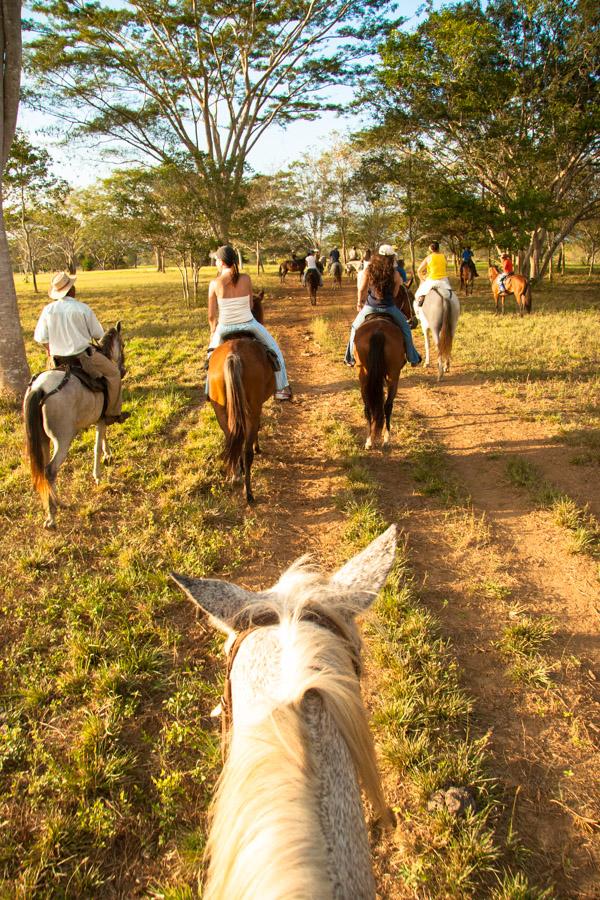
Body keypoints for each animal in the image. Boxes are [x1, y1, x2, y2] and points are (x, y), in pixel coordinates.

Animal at [23, 326, 125, 528]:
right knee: (50, 470)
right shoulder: (101, 419)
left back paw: (56, 503)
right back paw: (53, 515)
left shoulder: (99, 419)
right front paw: (98, 475)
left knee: (44, 470)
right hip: (62, 439)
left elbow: (103, 438)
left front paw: (108, 455)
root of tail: (40, 388)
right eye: (123, 344)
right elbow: (97, 447)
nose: (123, 370)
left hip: (43, 439)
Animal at [205, 296, 274, 506]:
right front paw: (257, 447)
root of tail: (233, 354)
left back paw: (235, 474)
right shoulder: (258, 407)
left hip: (221, 409)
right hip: (251, 409)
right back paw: (249, 492)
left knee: (231, 439)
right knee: (246, 450)